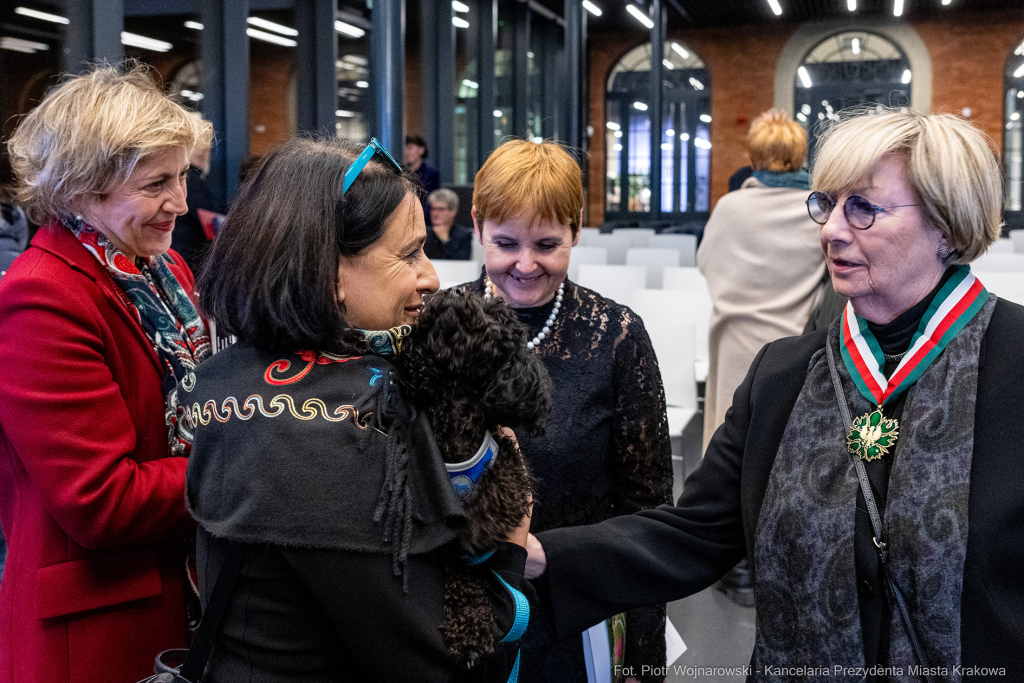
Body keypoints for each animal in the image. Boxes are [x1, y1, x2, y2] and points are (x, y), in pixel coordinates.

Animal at [393, 286, 552, 667]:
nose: (453, 290)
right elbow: (460, 569)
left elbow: (497, 495)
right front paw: (470, 630)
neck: (456, 406)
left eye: (496, 313)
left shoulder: (510, 466)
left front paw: (476, 526)